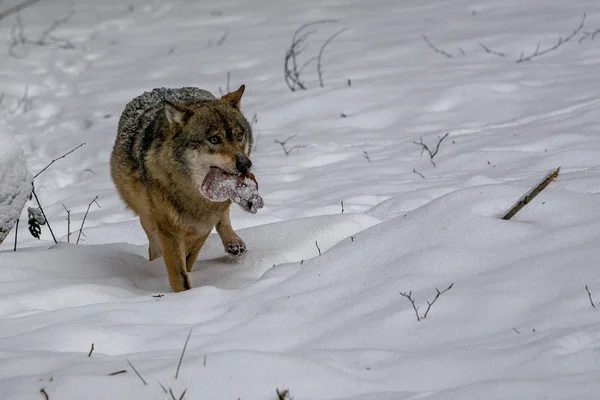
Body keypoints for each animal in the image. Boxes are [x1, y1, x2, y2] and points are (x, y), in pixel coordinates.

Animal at [109, 84, 254, 292]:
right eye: (214, 140)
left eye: (239, 136)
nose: (245, 164)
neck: (193, 196)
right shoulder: (168, 232)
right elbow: (179, 274)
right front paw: (183, 297)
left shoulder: (202, 227)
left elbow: (188, 262)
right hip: (147, 217)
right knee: (153, 248)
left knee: (223, 217)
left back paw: (234, 242)